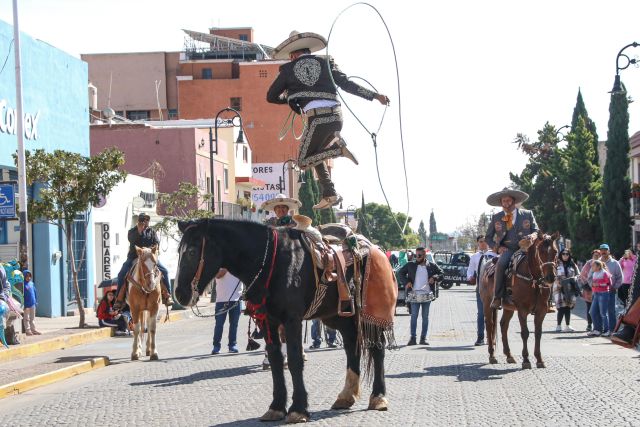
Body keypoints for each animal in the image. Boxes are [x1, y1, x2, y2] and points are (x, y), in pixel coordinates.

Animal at [172, 221, 398, 424]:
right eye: (178, 252)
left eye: (191, 251)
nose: (180, 294)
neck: (272, 262)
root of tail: (373, 248)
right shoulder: (269, 321)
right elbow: (275, 360)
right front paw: (276, 407)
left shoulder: (292, 320)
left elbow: (295, 360)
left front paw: (298, 409)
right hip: (339, 317)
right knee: (352, 347)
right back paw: (346, 395)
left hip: (371, 317)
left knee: (377, 350)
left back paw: (378, 397)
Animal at [478, 232, 556, 370]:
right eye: (541, 251)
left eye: (556, 252)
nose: (550, 277)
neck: (534, 279)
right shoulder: (522, 309)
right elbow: (525, 333)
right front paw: (526, 360)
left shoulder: (541, 310)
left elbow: (538, 333)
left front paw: (539, 359)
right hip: (487, 304)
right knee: (490, 325)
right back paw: (492, 356)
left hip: (508, 308)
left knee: (503, 325)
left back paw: (509, 355)